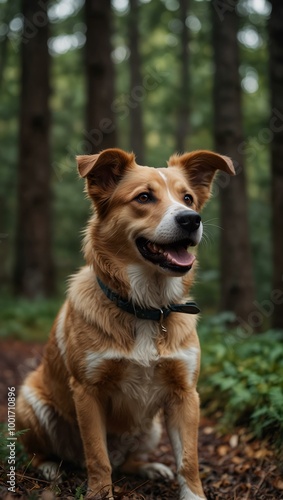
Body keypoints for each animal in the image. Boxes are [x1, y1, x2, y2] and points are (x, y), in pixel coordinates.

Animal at [16, 148, 236, 500]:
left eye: (187, 198)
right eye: (144, 197)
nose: (191, 219)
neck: (146, 308)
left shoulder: (185, 394)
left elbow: (188, 460)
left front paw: (193, 495)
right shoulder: (88, 392)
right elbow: (97, 456)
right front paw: (100, 493)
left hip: (152, 427)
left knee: (126, 462)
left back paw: (149, 467)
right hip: (31, 402)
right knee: (45, 453)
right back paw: (49, 468)